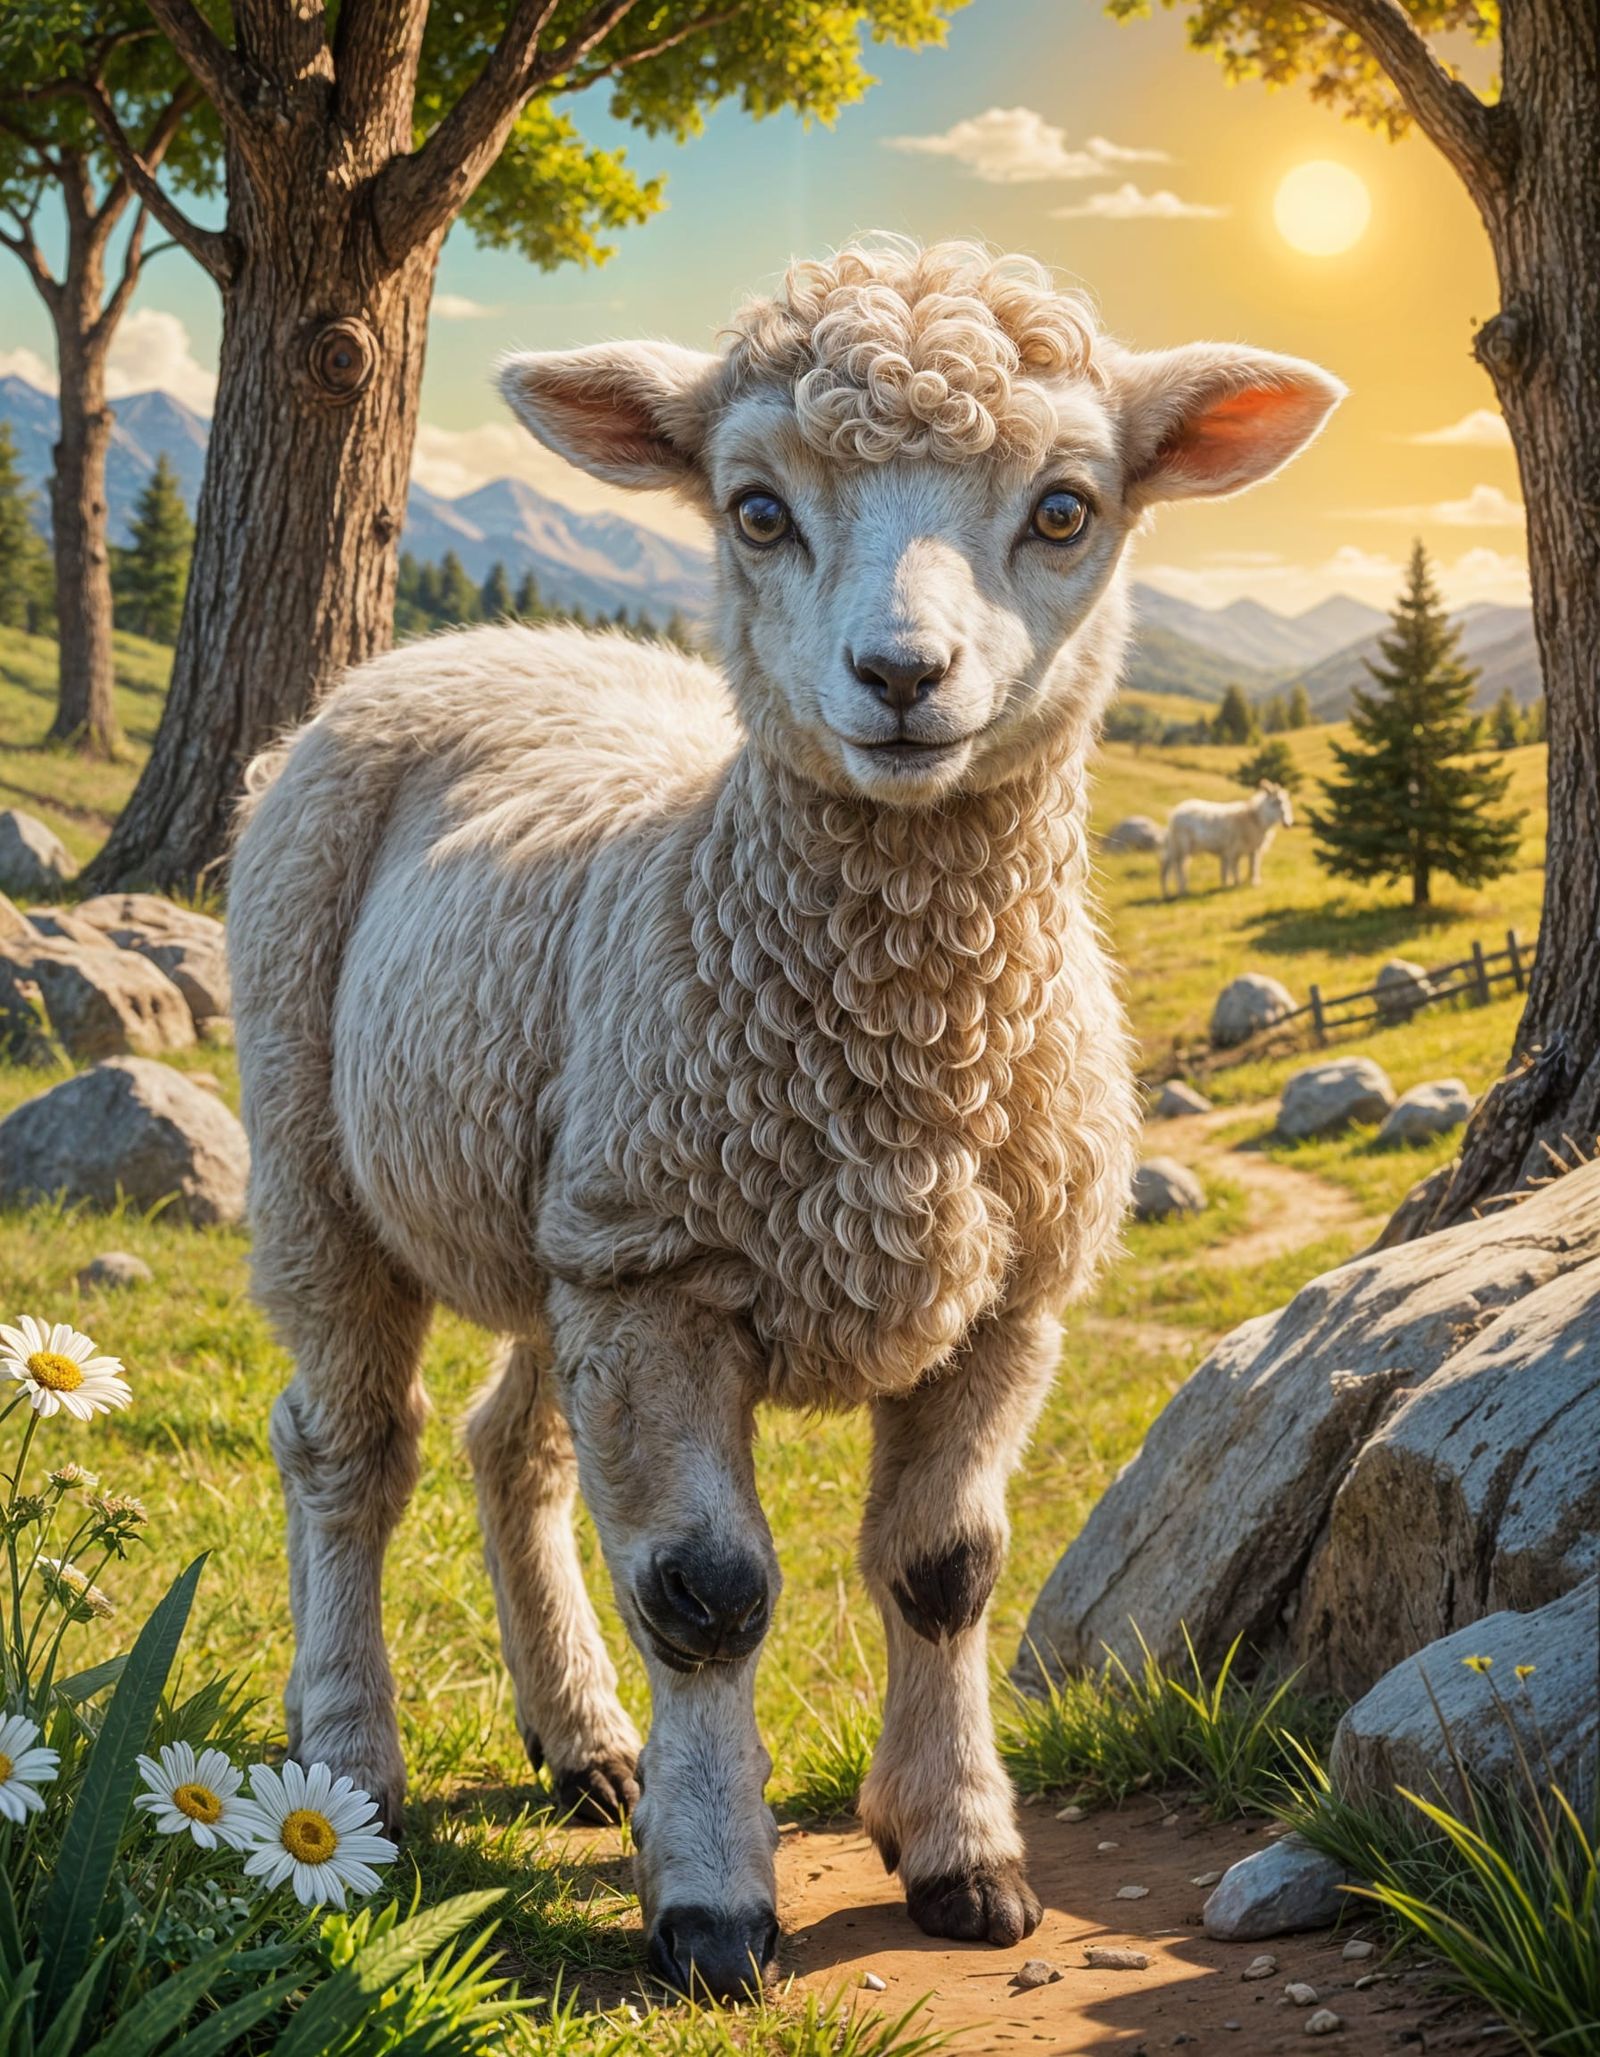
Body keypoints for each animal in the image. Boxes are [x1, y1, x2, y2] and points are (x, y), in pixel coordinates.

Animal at [1160, 781, 1294, 897]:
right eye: (1276, 802)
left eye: (1287, 802)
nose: (1287, 824)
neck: (1255, 819)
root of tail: (1174, 812)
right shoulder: (1235, 849)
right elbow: (1236, 867)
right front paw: (1237, 883)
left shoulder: (1251, 848)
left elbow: (1252, 866)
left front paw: (1248, 883)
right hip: (1181, 845)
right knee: (1178, 865)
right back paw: (1182, 890)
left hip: (1176, 845)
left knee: (1169, 863)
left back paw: (1169, 891)